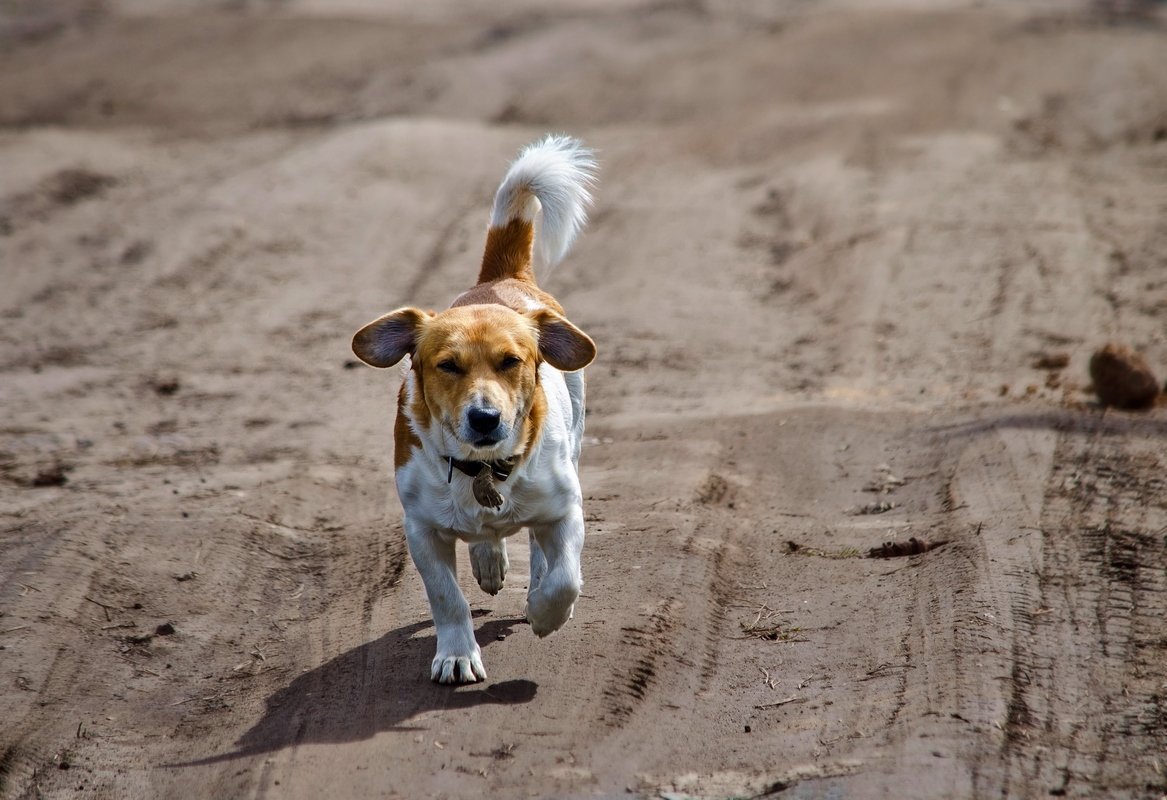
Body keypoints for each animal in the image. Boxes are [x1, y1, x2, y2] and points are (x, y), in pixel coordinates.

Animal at [350, 134, 597, 685]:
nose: (485, 418)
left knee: (541, 551)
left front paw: (545, 612)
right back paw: (488, 558)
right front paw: (457, 654)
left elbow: (565, 578)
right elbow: (447, 598)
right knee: (488, 541)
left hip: (571, 447)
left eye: (511, 361)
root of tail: (501, 280)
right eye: (447, 365)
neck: (483, 469)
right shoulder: (421, 531)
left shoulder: (565, 510)